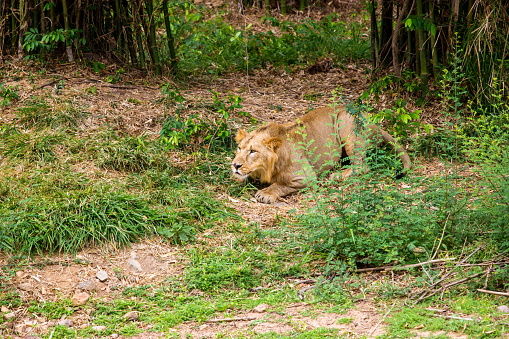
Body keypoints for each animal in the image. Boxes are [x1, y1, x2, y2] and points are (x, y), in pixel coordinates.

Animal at [230, 105, 408, 205]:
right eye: (239, 148)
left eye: (253, 151)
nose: (235, 165)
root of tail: (376, 125)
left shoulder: (306, 176)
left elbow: (281, 184)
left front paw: (265, 193)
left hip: (346, 125)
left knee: (362, 166)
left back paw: (337, 176)